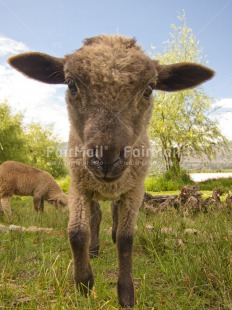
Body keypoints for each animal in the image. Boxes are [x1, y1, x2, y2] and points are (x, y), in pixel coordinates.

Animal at [7, 35, 216, 308]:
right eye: (71, 84)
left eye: (149, 88)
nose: (106, 158)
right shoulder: (78, 185)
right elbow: (76, 233)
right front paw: (84, 284)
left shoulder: (135, 189)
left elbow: (127, 239)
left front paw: (126, 294)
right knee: (96, 216)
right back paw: (94, 249)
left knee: (115, 212)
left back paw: (113, 234)